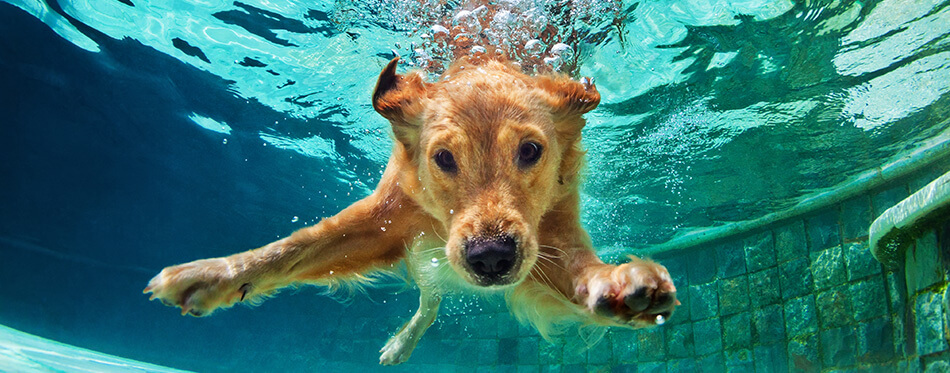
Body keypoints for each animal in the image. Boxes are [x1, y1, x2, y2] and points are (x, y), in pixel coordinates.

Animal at [143, 53, 676, 364]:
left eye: (530, 151)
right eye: (443, 158)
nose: (491, 258)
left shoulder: (551, 234)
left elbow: (581, 270)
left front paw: (620, 285)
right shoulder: (384, 219)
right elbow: (294, 248)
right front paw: (214, 275)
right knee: (429, 299)